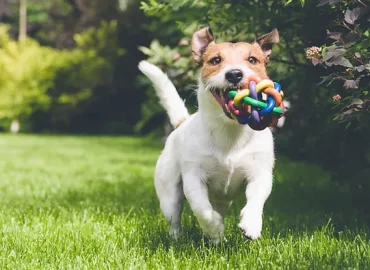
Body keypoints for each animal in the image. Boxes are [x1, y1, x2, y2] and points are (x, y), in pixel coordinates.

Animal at [139, 26, 280, 243]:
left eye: (252, 59)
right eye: (215, 60)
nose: (234, 74)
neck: (229, 130)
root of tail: (182, 123)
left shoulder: (260, 173)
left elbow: (256, 199)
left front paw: (251, 224)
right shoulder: (193, 179)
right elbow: (202, 210)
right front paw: (214, 228)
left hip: (223, 200)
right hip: (169, 194)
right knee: (175, 218)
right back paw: (183, 238)